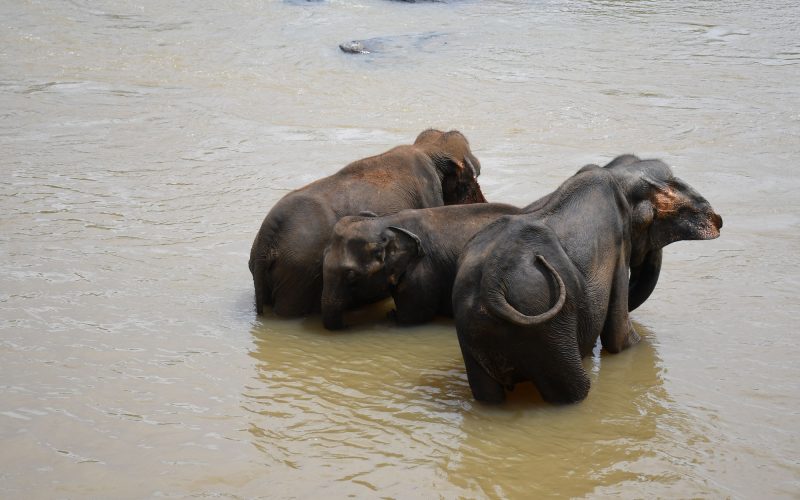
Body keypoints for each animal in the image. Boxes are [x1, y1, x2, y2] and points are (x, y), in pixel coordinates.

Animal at [320, 202, 519, 330]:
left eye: (351, 276)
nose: (347, 324)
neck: (388, 222)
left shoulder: (421, 273)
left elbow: (412, 318)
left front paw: (391, 315)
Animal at [452, 156, 722, 404]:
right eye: (647, 222)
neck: (614, 172)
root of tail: (493, 282)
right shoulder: (619, 245)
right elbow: (618, 337)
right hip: (547, 326)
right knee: (573, 390)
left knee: (488, 397)